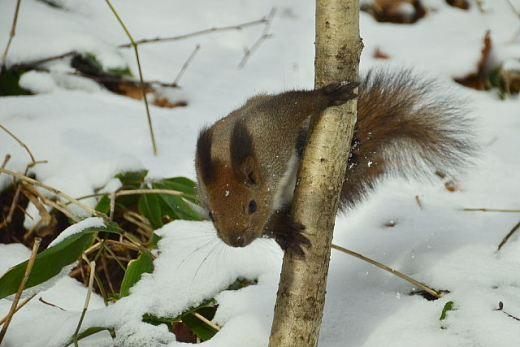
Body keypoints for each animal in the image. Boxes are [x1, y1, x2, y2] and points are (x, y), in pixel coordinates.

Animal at [194, 69, 476, 256]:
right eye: (211, 215)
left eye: (252, 206)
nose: (237, 241)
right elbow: (267, 226)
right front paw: (284, 232)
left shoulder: (271, 127)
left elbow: (294, 102)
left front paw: (327, 96)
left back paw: (351, 152)